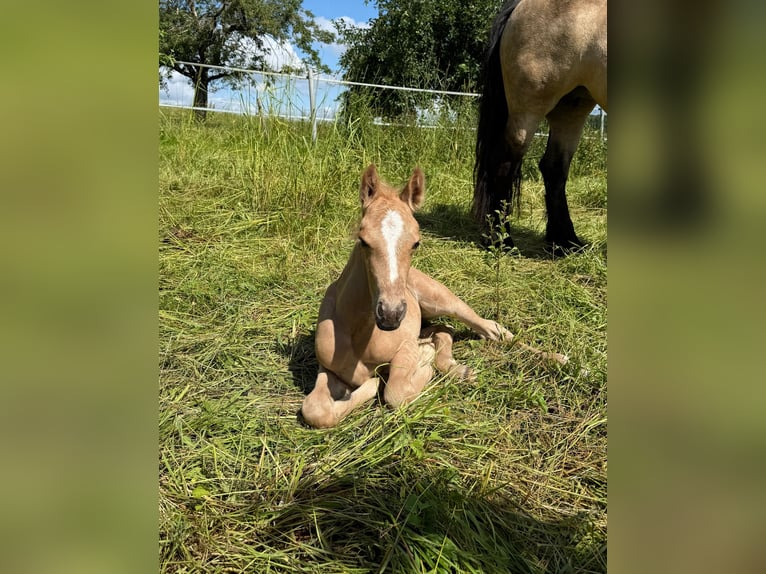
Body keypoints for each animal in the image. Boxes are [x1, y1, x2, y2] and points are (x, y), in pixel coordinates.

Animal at [301, 165, 567, 429]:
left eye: (416, 243)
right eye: (363, 240)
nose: (390, 314)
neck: (360, 333)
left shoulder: (406, 345)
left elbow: (395, 393)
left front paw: (411, 369)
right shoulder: (327, 368)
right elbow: (315, 410)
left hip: (443, 301)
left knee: (493, 330)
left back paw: (557, 358)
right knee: (446, 329)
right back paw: (458, 369)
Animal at [473, 0, 607, 250]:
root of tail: (519, 6)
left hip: (572, 107)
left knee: (554, 168)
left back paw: (565, 242)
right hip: (528, 109)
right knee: (503, 163)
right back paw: (503, 241)